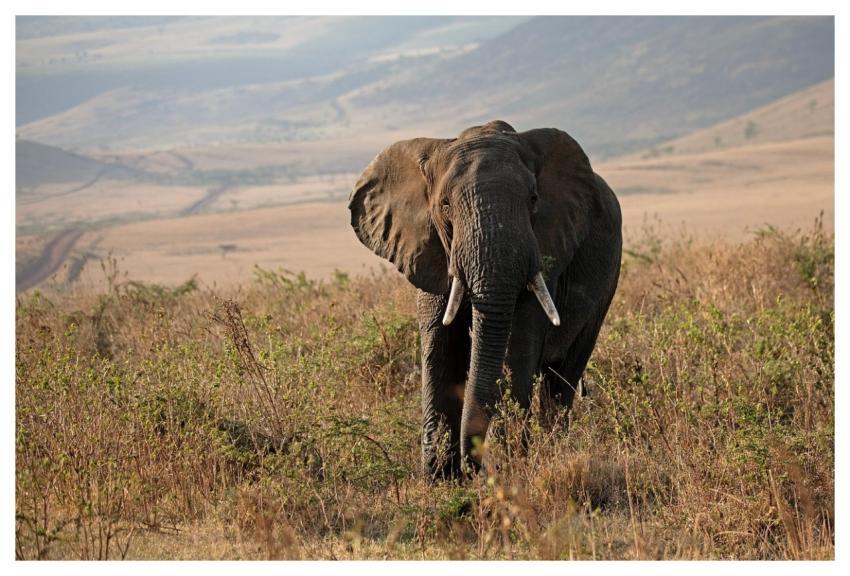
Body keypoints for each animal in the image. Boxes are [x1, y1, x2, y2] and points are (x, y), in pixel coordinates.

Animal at [348, 120, 622, 479]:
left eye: (533, 199)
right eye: (445, 206)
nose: (472, 465)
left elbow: (516, 347)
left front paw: (505, 468)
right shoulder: (429, 251)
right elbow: (440, 347)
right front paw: (440, 479)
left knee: (563, 376)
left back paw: (552, 452)